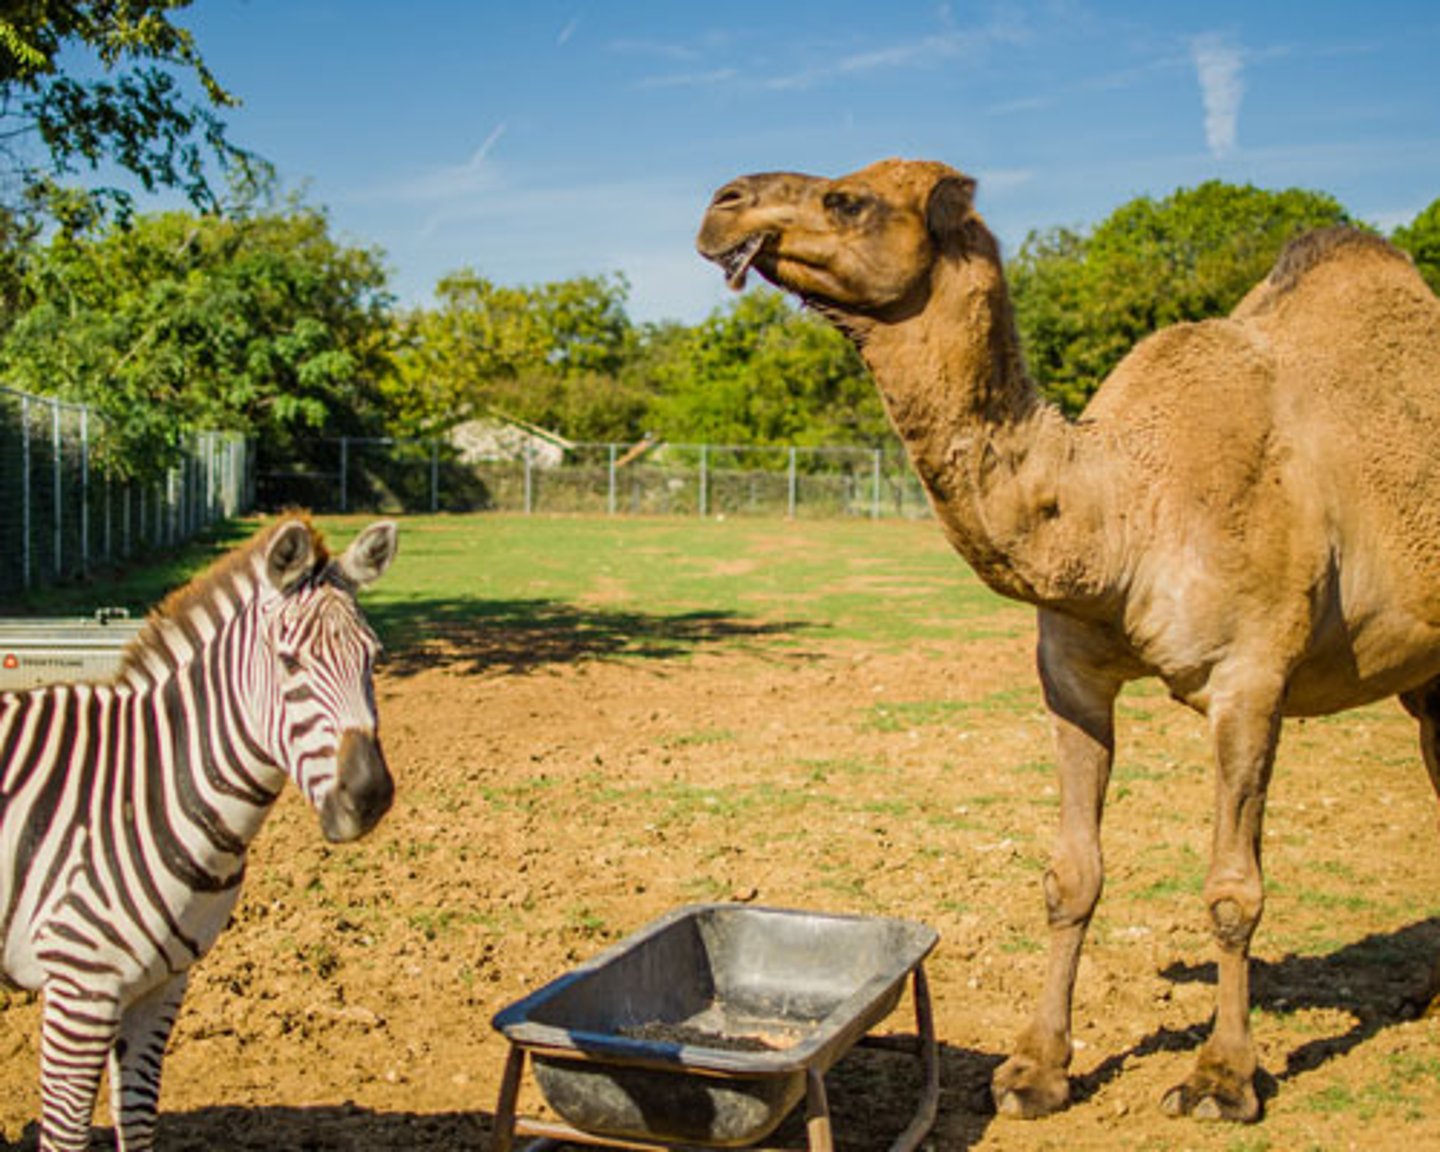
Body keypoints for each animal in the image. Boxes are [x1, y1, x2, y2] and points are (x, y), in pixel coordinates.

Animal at [0, 518, 400, 1146]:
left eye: (373, 659)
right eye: (289, 662)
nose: (370, 797)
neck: (153, 786)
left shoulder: (162, 984)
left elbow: (138, 1121)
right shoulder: (80, 988)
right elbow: (65, 1133)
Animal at [702, 157, 1440, 1123]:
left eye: (847, 199)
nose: (721, 207)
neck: (1128, 509)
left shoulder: (1251, 677)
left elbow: (1232, 890)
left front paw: (1222, 1079)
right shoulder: (1071, 672)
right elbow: (1071, 876)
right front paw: (1035, 1070)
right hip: (1430, 680)